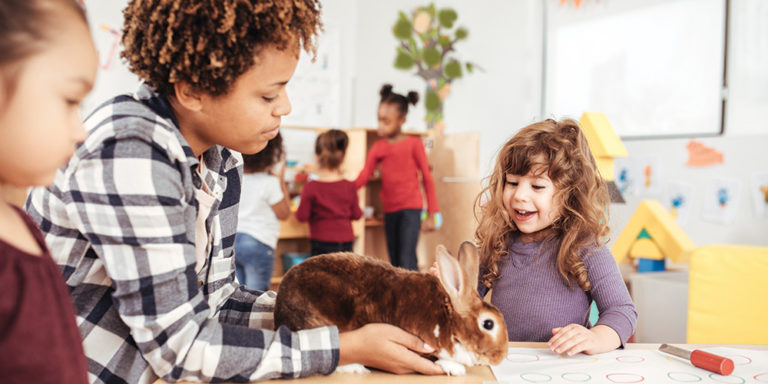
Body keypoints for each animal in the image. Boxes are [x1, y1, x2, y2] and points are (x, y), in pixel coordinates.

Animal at [272, 242, 508, 374]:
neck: (449, 320)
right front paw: (455, 369)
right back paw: (355, 368)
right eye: (488, 324)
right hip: (319, 324)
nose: (502, 357)